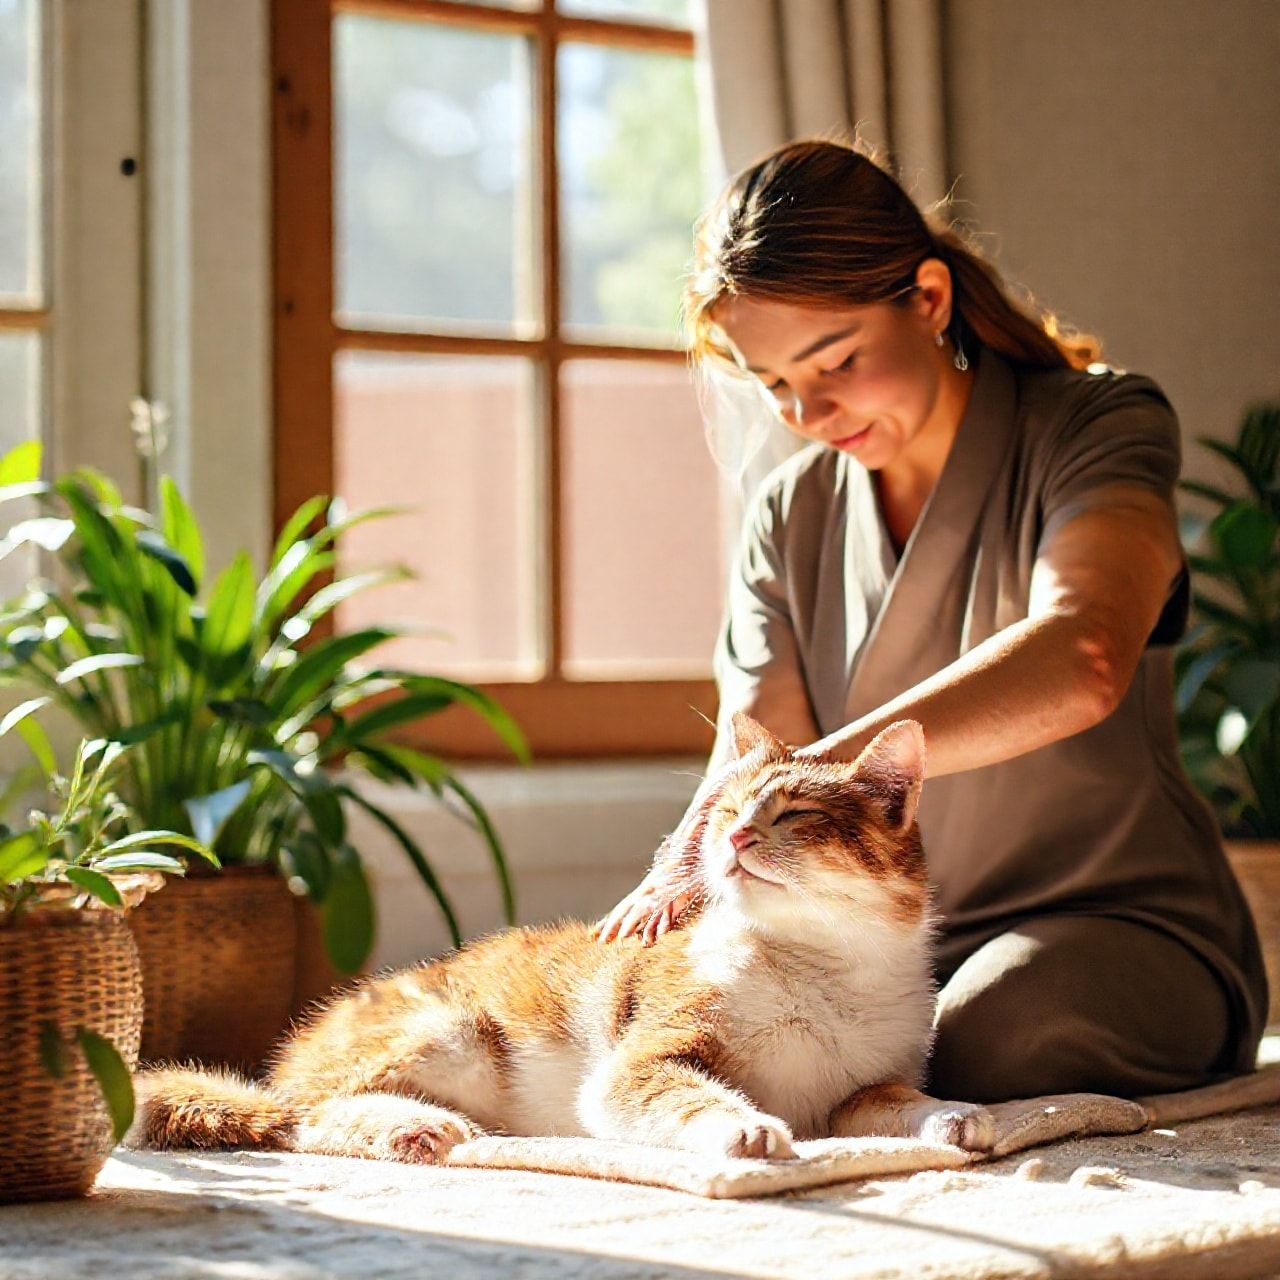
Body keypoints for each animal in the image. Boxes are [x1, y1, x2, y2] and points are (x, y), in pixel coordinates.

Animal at [129, 716, 993, 1167]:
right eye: (724, 811)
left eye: (797, 815)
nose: (735, 836)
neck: (820, 971)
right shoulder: (642, 1060)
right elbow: (681, 1093)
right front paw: (741, 1126)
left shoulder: (860, 1090)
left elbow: (894, 1104)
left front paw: (956, 1116)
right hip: (448, 1024)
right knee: (303, 1115)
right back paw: (411, 1125)